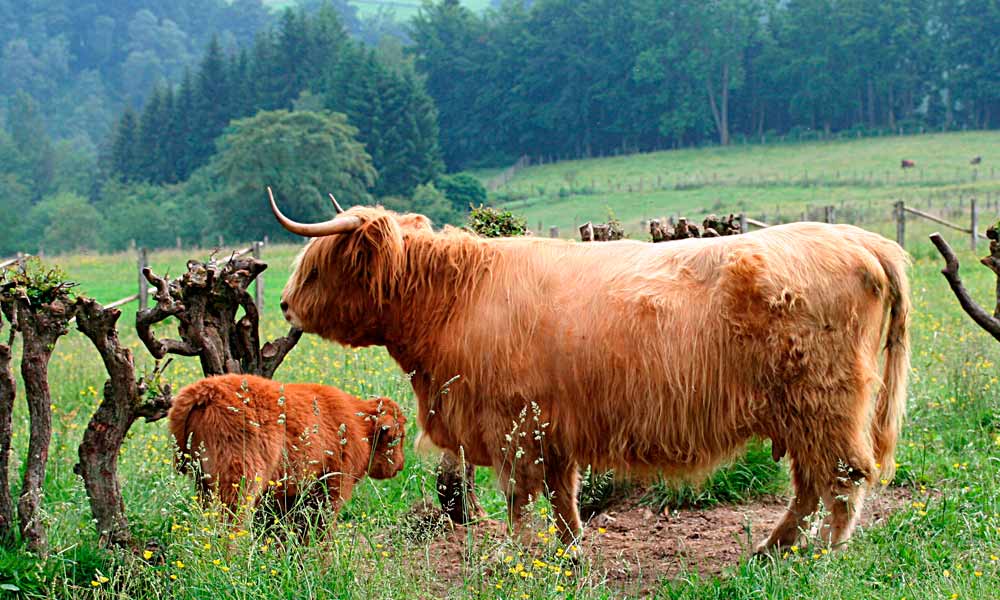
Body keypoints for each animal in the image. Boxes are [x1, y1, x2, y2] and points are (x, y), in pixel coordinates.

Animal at [168, 374, 407, 519]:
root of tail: (208, 390)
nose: (400, 466)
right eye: (399, 436)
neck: (359, 423)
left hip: (204, 483)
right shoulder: (330, 490)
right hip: (240, 482)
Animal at [270, 193, 909, 553]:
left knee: (842, 478)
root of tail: (862, 240)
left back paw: (819, 554)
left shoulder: (512, 422)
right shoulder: (552, 425)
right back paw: (774, 550)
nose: (283, 303)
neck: (456, 298)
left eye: (318, 265)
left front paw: (515, 554)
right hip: (800, 413)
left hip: (823, 403)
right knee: (811, 484)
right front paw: (571, 550)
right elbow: (561, 493)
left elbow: (521, 496)